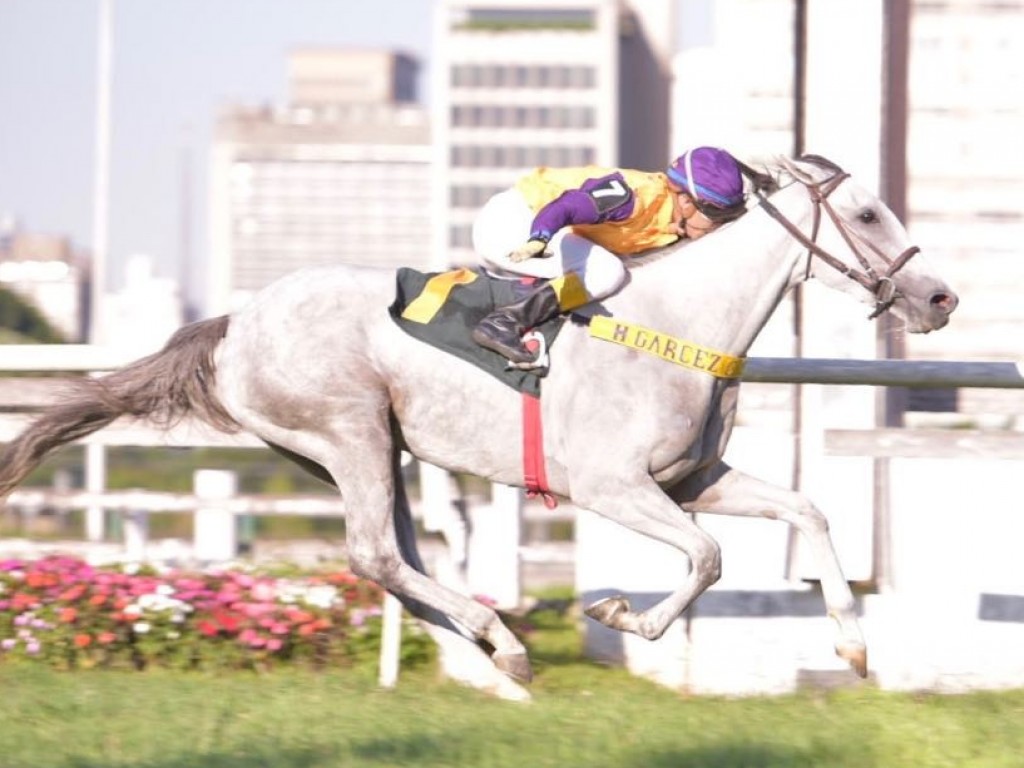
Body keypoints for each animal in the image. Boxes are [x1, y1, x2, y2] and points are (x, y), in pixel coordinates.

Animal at [2, 153, 958, 700]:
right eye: (867, 214)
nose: (939, 298)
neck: (682, 325)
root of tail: (236, 324)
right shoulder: (614, 486)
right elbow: (709, 558)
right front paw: (622, 614)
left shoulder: (691, 480)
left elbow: (807, 512)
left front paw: (854, 648)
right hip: (348, 429)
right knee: (377, 557)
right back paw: (504, 643)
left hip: (361, 448)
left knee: (399, 560)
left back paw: (486, 645)